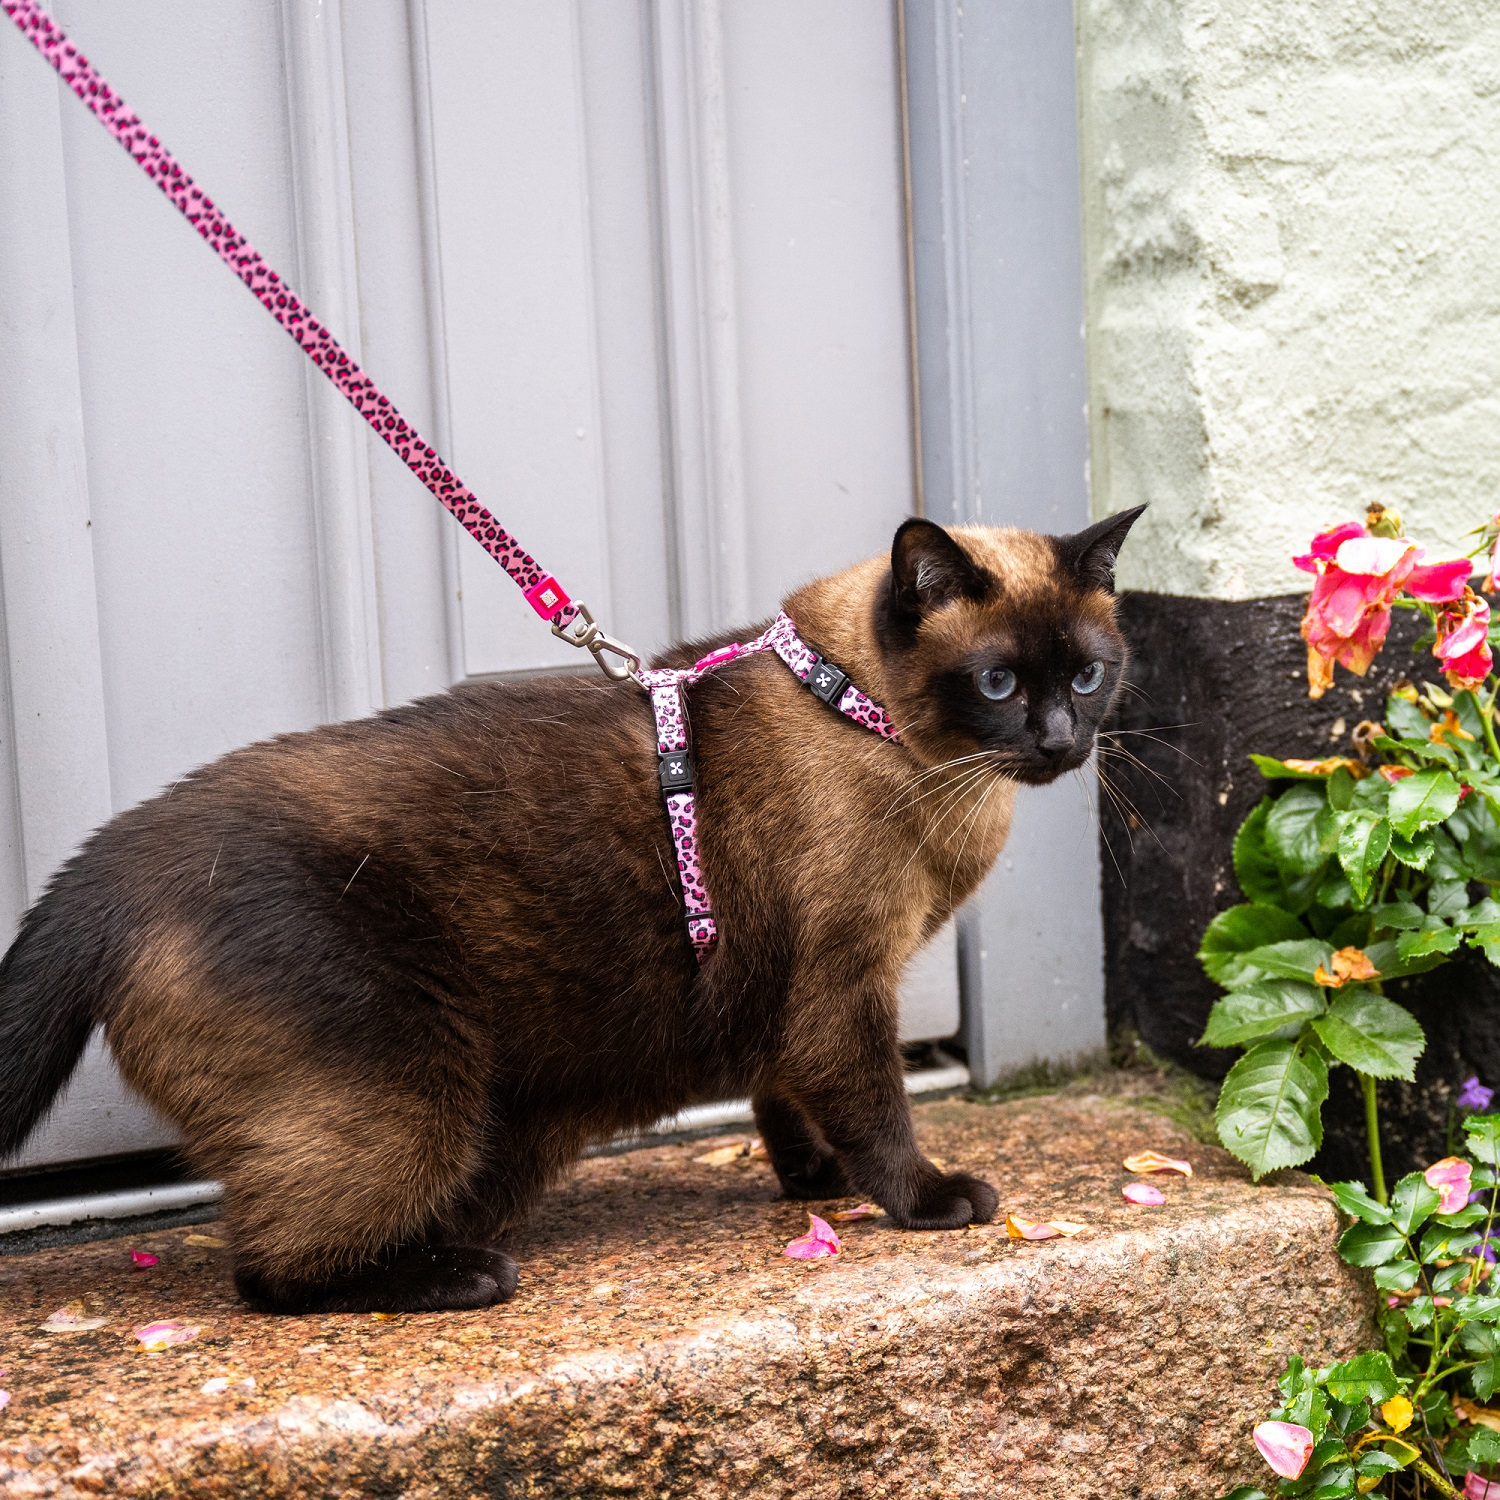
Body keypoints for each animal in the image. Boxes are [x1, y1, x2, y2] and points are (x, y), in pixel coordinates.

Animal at [0, 510, 1134, 1308]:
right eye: (997, 683)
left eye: (1088, 674)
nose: (1060, 741)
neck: (870, 722)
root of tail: (100, 869)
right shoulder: (843, 988)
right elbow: (877, 1113)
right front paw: (928, 1202)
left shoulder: (787, 997)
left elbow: (783, 1102)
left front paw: (811, 1186)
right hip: (417, 1098)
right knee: (270, 1273)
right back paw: (464, 1277)